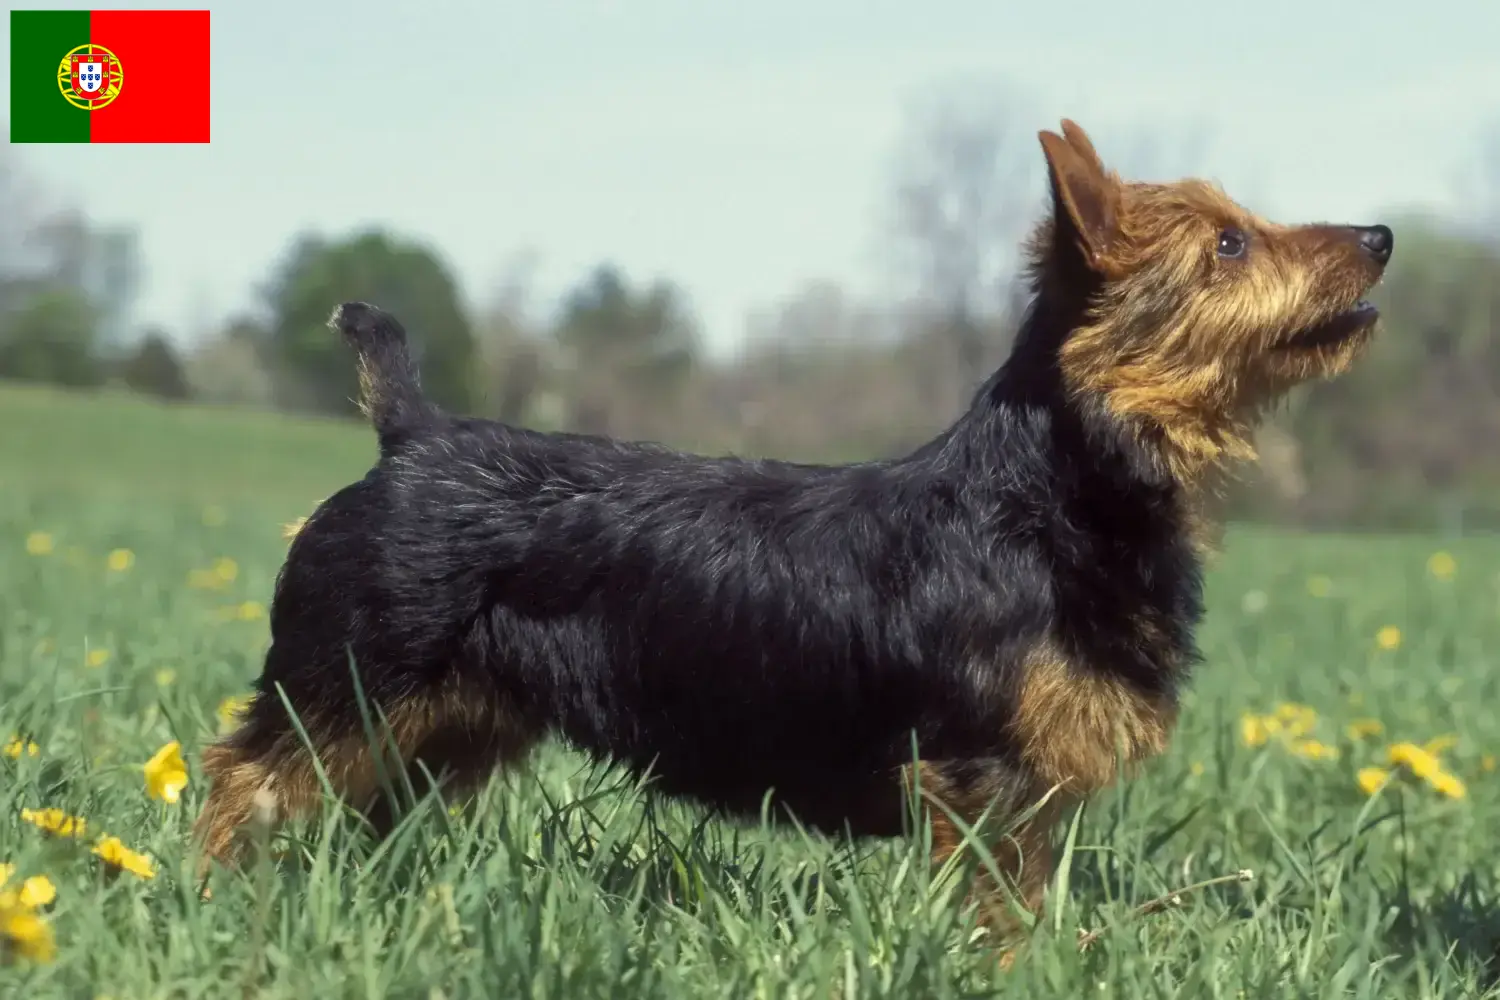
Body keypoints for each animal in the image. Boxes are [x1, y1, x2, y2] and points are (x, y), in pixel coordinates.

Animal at [193, 119, 1386, 947]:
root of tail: (413, 435)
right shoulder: (979, 783)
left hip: (441, 727)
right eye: (1229, 242)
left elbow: (1027, 904)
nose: (1380, 234)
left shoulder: (1028, 798)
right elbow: (996, 916)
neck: (1052, 493)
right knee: (239, 779)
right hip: (341, 686)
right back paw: (214, 895)